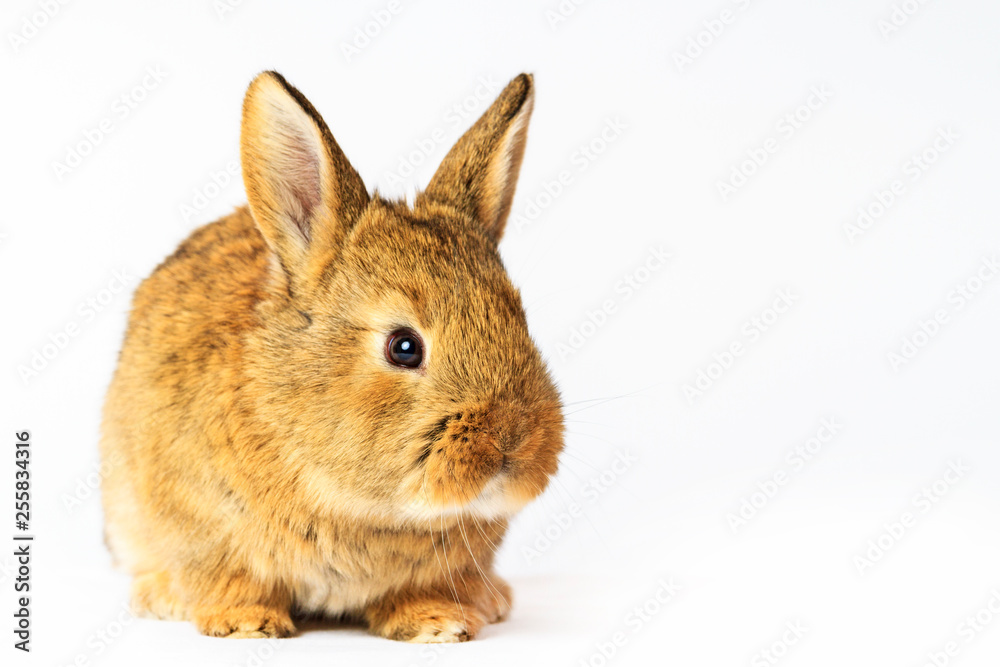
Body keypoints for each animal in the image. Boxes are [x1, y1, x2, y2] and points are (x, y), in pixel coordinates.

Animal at [99, 70, 564, 643]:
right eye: (404, 347)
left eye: (520, 319)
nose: (513, 443)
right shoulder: (202, 529)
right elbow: (228, 578)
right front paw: (246, 624)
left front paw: (438, 622)